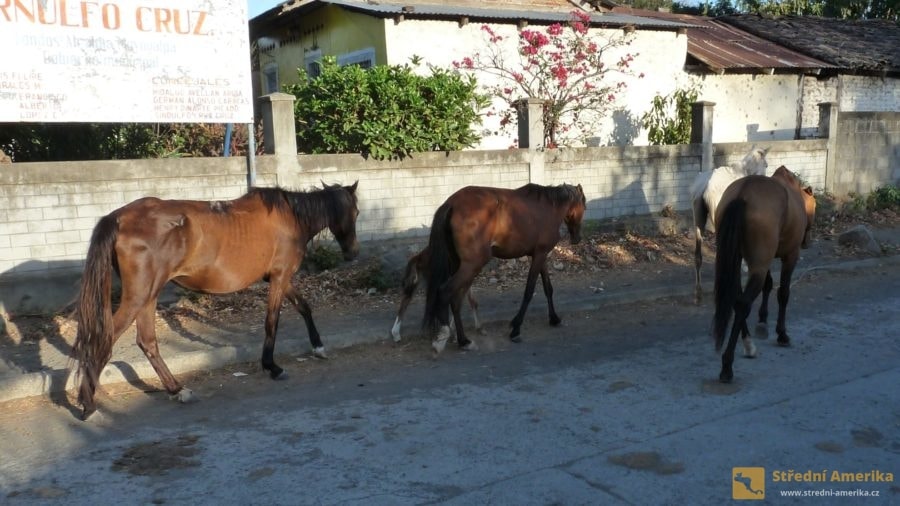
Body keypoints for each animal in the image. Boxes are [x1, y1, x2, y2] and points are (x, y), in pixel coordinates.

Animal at [72, 182, 358, 420]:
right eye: (355, 212)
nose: (353, 253)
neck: (291, 218)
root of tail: (118, 218)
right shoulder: (280, 277)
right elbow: (272, 321)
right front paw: (272, 367)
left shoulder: (280, 279)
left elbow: (304, 307)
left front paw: (318, 347)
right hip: (139, 296)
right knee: (105, 340)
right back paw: (88, 404)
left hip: (148, 295)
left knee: (147, 341)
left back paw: (176, 389)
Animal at [420, 184, 584, 354]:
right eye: (584, 204)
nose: (577, 238)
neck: (549, 208)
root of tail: (452, 203)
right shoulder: (539, 256)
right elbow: (529, 291)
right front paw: (516, 328)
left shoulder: (540, 255)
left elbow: (548, 288)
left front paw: (554, 318)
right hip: (472, 265)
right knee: (445, 292)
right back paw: (445, 336)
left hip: (460, 265)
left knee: (456, 299)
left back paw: (463, 341)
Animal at [712, 167, 816, 384]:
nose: (807, 242)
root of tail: (742, 194)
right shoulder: (790, 256)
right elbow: (783, 293)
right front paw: (781, 334)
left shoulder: (765, 261)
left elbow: (768, 285)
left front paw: (762, 321)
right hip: (760, 263)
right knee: (743, 304)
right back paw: (727, 365)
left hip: (740, 261)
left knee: (736, 298)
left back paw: (748, 345)